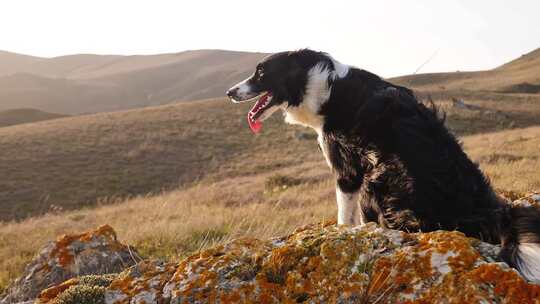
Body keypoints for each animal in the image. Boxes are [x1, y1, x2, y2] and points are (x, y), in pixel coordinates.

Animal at [226, 48, 540, 282]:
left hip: (380, 178)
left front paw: (344, 233)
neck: (320, 86)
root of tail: (492, 212)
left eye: (261, 72)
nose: (229, 92)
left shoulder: (347, 168)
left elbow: (345, 213)